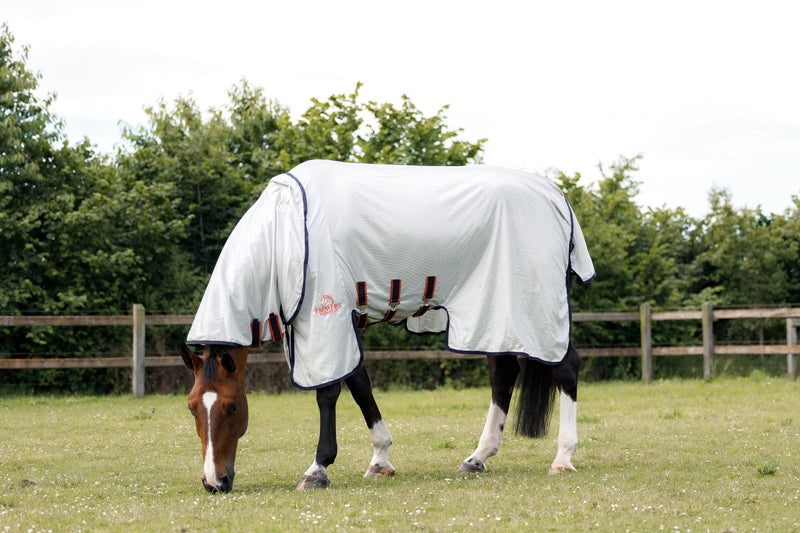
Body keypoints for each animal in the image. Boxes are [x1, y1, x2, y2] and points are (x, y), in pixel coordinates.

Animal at [181, 160, 594, 493]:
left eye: (232, 407)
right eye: (191, 407)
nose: (214, 482)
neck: (287, 232)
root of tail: (558, 198)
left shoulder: (327, 322)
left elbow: (329, 393)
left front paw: (318, 469)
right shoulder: (336, 327)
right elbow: (360, 384)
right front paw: (380, 459)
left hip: (534, 308)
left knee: (565, 367)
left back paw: (563, 458)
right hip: (495, 315)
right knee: (504, 374)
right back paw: (478, 457)